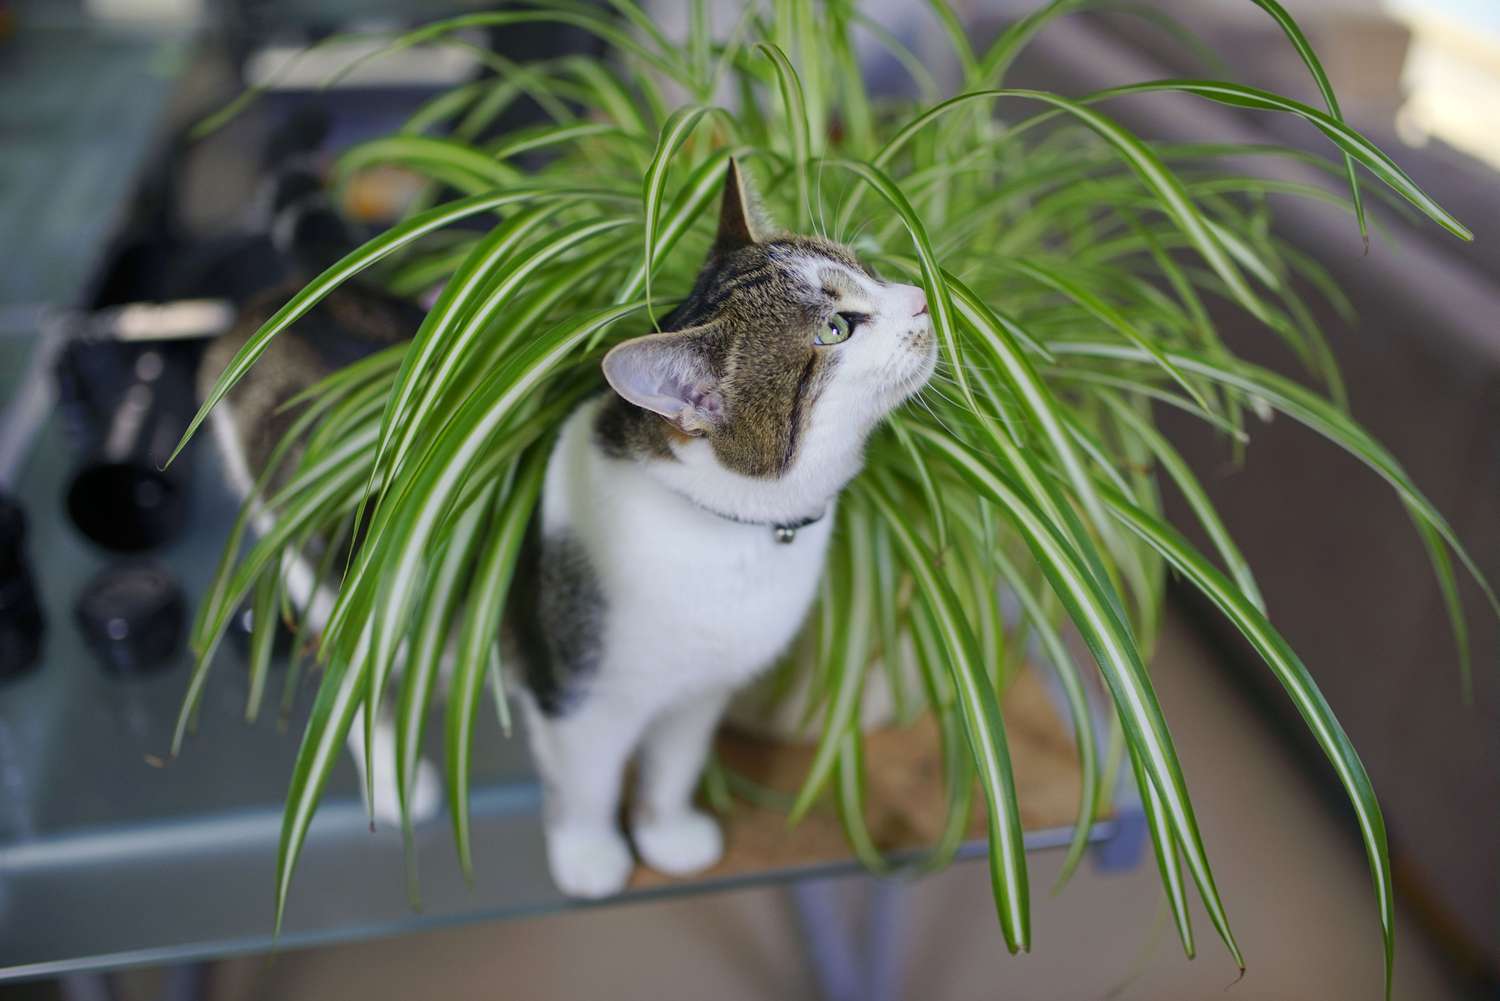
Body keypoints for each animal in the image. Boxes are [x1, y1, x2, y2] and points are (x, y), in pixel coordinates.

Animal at [199, 162, 924, 900]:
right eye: (837, 327)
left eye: (865, 268)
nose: (923, 298)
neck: (729, 532)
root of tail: (285, 301)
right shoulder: (576, 698)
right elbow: (589, 784)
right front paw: (591, 855)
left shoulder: (702, 692)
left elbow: (675, 764)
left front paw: (667, 835)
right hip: (323, 573)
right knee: (345, 669)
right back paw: (394, 780)